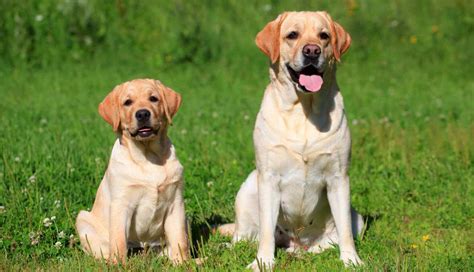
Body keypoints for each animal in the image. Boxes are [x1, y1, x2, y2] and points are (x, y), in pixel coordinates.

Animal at [75, 78, 188, 264]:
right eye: (127, 102)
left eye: (153, 98)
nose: (142, 114)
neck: (148, 156)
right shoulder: (121, 205)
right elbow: (119, 240)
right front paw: (119, 265)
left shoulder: (176, 204)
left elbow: (180, 240)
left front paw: (184, 263)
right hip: (83, 219)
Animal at [220, 11, 364, 270]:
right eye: (292, 35)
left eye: (324, 36)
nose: (312, 51)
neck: (303, 112)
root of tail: (297, 242)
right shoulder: (268, 177)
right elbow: (266, 232)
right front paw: (262, 262)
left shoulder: (339, 178)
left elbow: (345, 231)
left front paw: (351, 260)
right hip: (248, 189)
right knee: (243, 237)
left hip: (357, 217)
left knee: (330, 240)